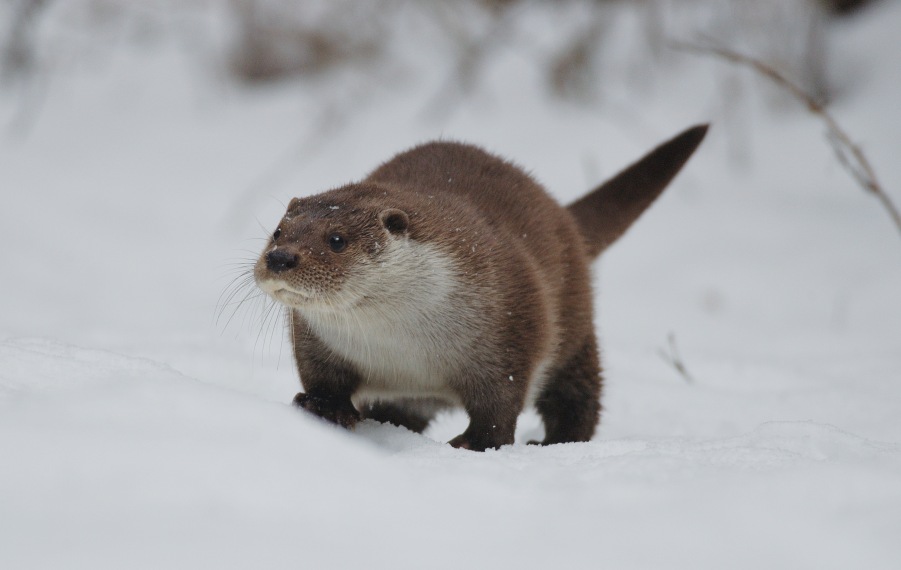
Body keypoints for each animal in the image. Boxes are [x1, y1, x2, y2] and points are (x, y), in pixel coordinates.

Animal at [253, 124, 712, 448]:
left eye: (336, 240)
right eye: (277, 232)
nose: (280, 258)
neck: (402, 347)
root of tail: (563, 217)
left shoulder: (510, 327)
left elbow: (500, 403)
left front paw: (476, 443)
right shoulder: (315, 338)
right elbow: (321, 377)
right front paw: (324, 408)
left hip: (574, 328)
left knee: (579, 395)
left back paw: (558, 442)